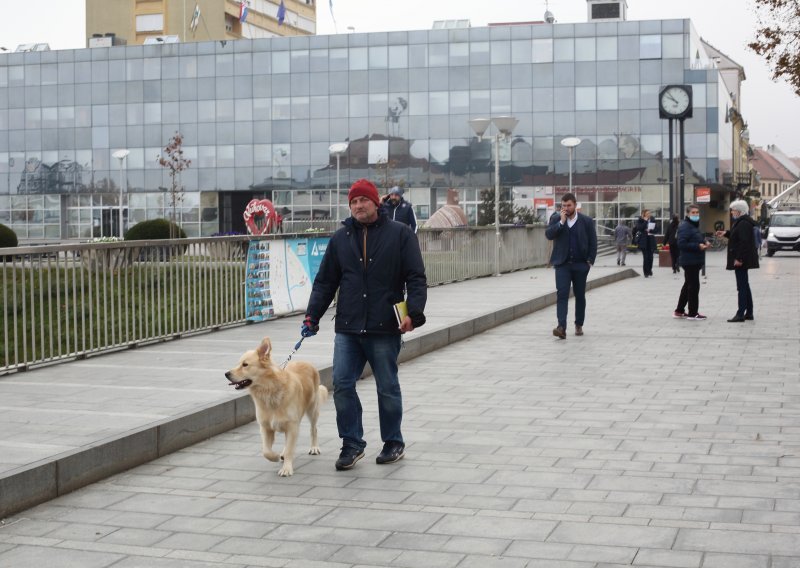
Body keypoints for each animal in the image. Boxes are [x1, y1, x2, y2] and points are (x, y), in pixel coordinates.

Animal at [223, 338, 326, 474]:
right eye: (238, 363)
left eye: (245, 364)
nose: (226, 374)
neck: (269, 391)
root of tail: (306, 362)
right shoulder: (266, 427)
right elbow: (266, 451)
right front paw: (276, 456)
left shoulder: (292, 426)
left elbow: (289, 449)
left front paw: (286, 469)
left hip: (312, 410)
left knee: (313, 429)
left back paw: (314, 447)